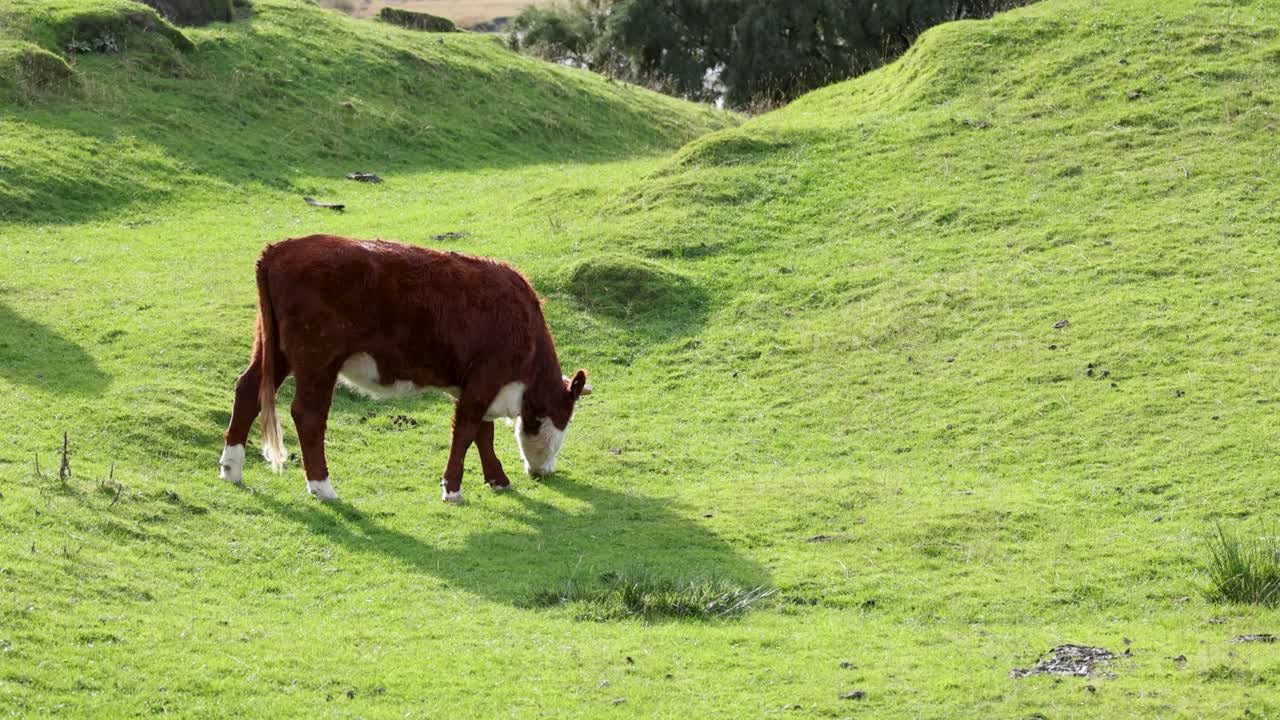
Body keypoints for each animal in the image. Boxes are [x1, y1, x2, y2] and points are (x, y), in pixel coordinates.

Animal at [217, 234, 591, 503]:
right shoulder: (485, 379)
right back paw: (322, 487)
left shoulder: (475, 384)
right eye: (566, 420)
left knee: (247, 390)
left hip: (273, 349)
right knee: (308, 414)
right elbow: (466, 431)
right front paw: (452, 489)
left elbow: (483, 433)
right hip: (318, 358)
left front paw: (497, 479)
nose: (546, 471)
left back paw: (231, 468)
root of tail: (282, 248)